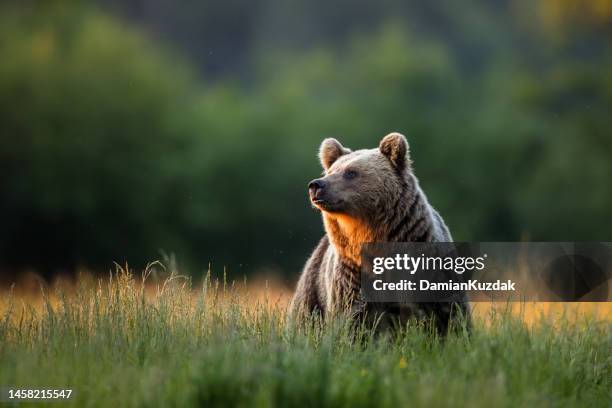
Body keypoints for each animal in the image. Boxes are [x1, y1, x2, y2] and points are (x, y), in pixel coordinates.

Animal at [290, 132, 470, 334]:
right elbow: (352, 322)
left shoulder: (427, 269)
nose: (316, 185)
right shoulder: (352, 277)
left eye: (350, 172)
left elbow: (448, 316)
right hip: (313, 288)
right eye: (330, 172)